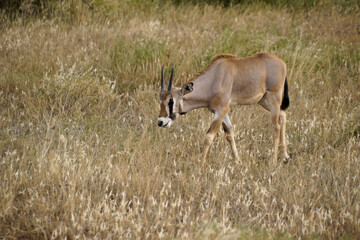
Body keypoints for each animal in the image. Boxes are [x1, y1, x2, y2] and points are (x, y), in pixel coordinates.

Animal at [158, 53, 290, 167]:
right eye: (160, 100)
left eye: (171, 101)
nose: (160, 122)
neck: (213, 79)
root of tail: (282, 62)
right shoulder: (220, 111)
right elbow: (229, 133)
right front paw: (237, 161)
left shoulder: (221, 110)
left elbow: (209, 137)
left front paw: (200, 166)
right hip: (264, 101)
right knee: (283, 115)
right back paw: (285, 157)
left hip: (274, 99)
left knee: (276, 126)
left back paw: (274, 160)